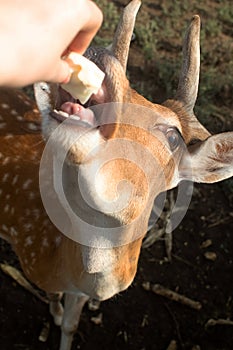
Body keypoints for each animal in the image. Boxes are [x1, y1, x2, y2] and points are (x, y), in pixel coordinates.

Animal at [0, 0, 232, 350]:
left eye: (173, 136)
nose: (97, 54)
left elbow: (71, 324)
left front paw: (64, 317)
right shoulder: (34, 257)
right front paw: (54, 312)